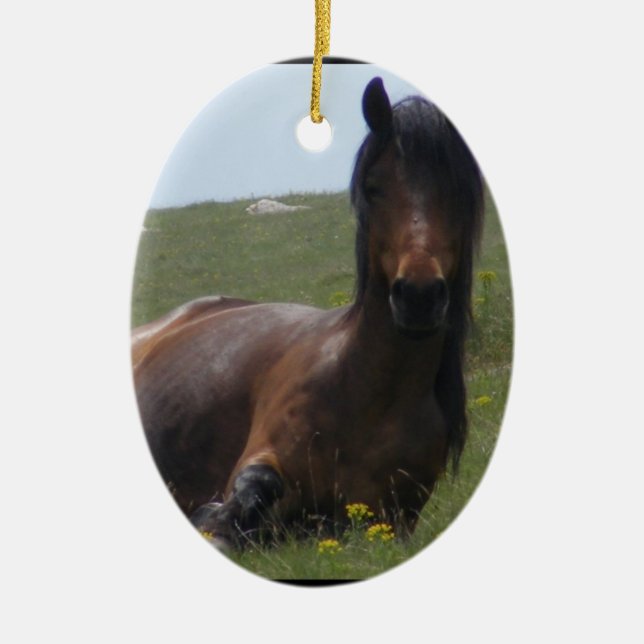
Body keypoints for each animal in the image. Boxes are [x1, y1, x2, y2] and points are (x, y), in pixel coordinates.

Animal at [132, 77, 484, 548]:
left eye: (460, 190)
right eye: (373, 186)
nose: (419, 295)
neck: (369, 396)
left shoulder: (394, 520)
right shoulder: (260, 456)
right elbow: (251, 494)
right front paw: (214, 518)